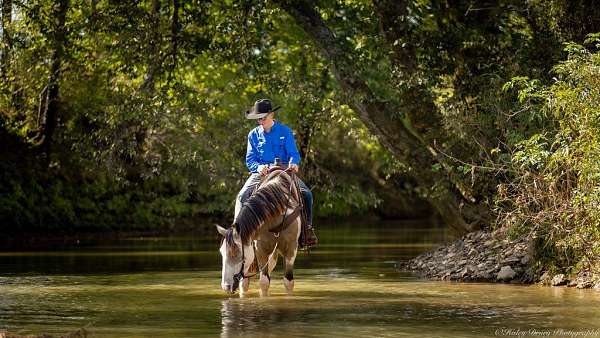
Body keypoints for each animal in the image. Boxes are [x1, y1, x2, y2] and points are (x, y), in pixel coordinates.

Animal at [216, 168, 302, 296]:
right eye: (222, 252)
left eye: (235, 253)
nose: (226, 287)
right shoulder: (260, 250)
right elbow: (264, 282)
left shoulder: (291, 249)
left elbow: (288, 282)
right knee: (244, 283)